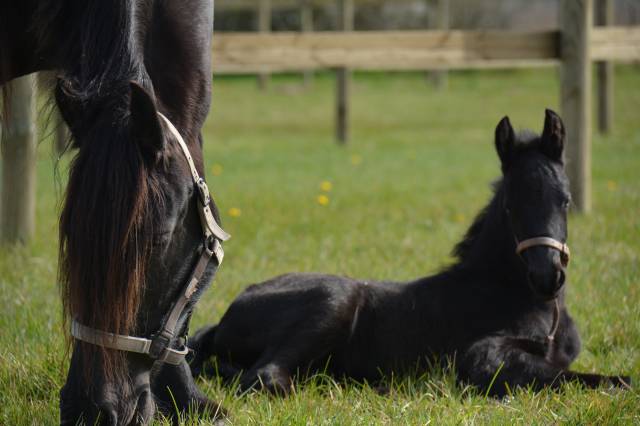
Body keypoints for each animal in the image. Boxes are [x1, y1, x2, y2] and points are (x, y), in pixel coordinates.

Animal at [190, 111, 632, 398]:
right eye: (511, 206)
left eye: (566, 200)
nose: (547, 277)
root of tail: (226, 317)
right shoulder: (480, 356)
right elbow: (581, 377)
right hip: (335, 298)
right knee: (263, 378)